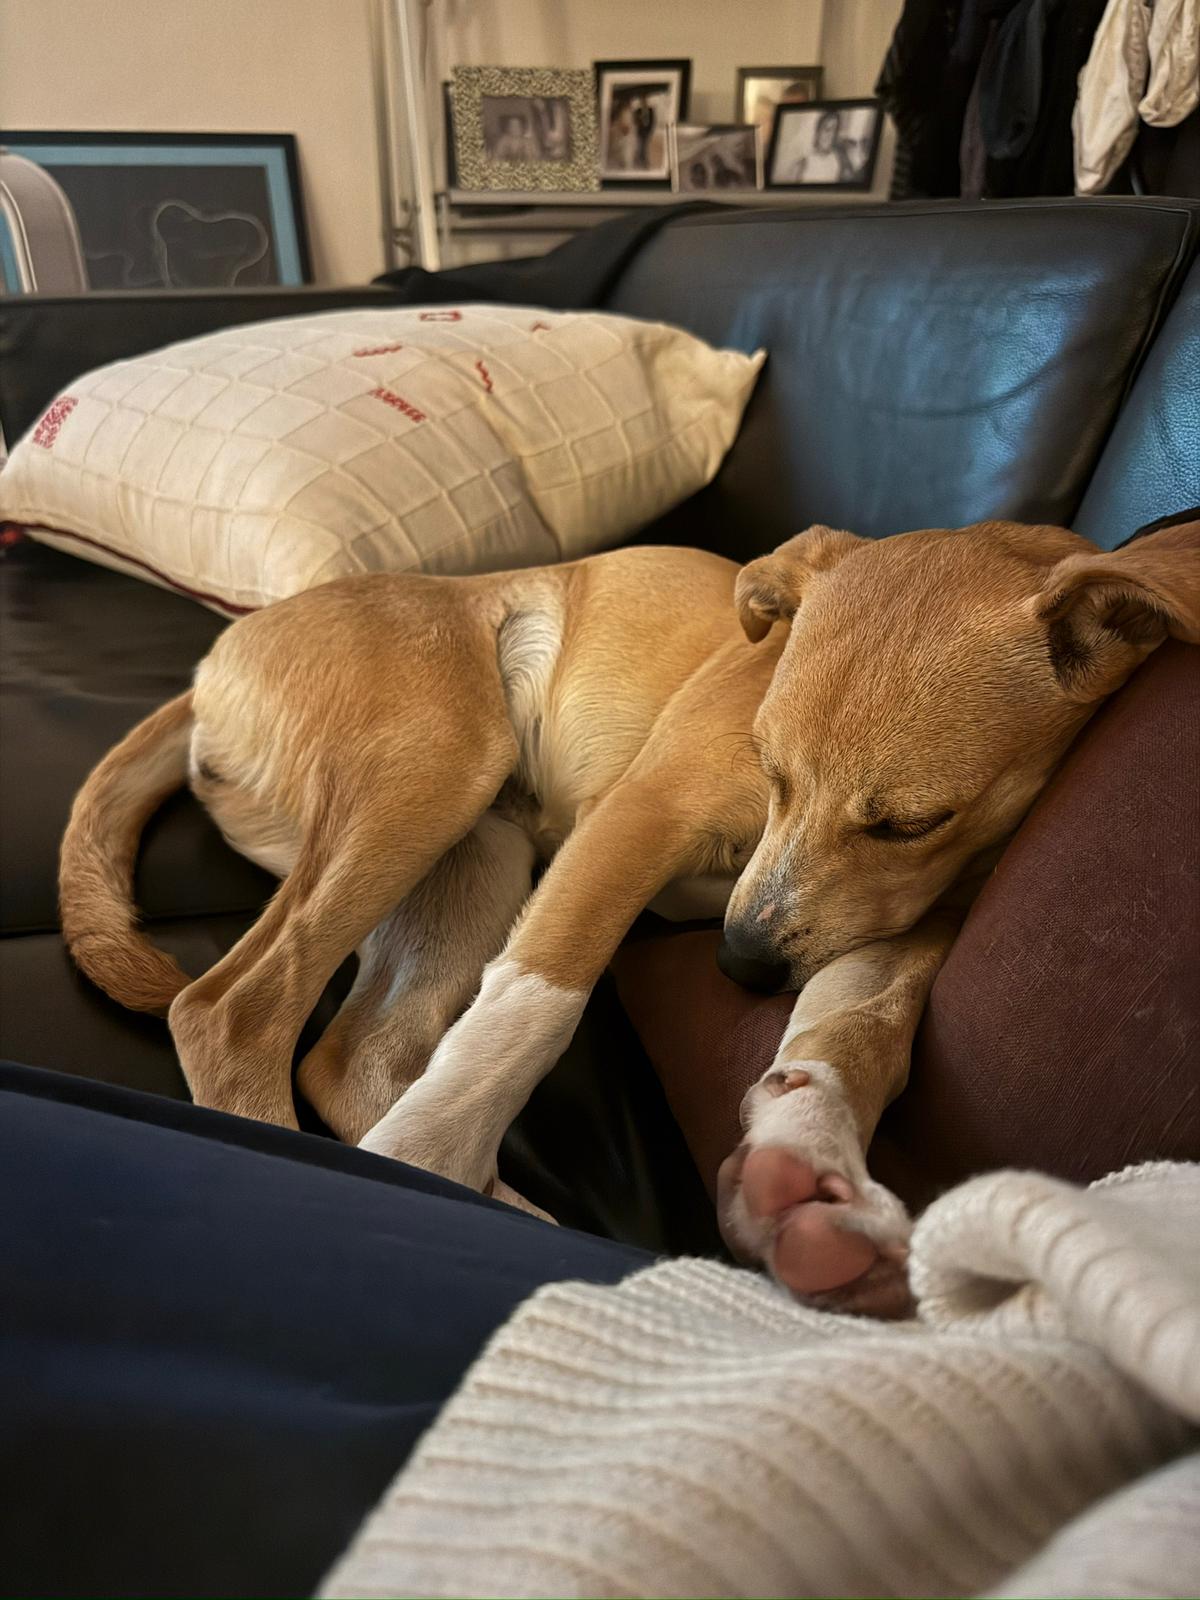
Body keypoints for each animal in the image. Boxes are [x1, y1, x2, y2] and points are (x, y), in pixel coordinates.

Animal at [60, 517, 1199, 1314]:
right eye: (769, 767)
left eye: (912, 823)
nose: (738, 967)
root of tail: (223, 652)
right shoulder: (638, 821)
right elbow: (529, 1011)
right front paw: (417, 1172)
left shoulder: (899, 922)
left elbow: (852, 1041)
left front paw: (811, 1177)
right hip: (435, 768)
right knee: (234, 1011)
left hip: (479, 854)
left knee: (355, 1055)